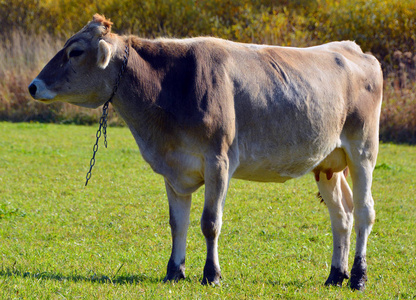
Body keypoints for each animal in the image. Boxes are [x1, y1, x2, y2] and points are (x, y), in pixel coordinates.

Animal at [27, 14, 382, 290]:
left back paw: (358, 277)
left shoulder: (218, 161)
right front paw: (174, 271)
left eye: (75, 51)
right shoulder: (173, 167)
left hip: (363, 150)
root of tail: (351, 48)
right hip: (327, 163)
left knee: (365, 211)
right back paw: (335, 275)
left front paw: (212, 274)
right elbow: (177, 223)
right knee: (342, 214)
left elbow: (210, 222)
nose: (33, 85)